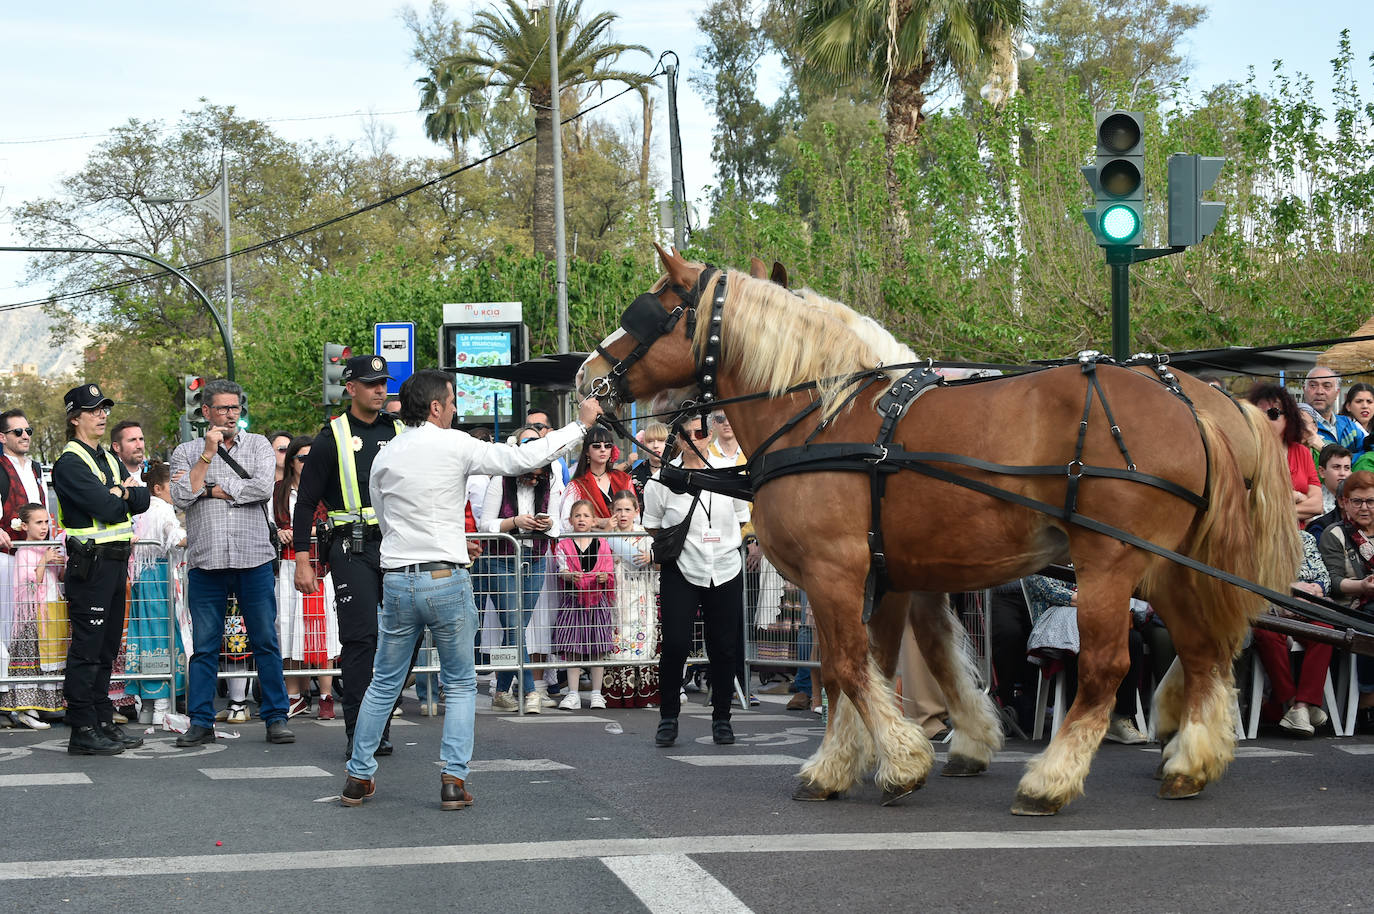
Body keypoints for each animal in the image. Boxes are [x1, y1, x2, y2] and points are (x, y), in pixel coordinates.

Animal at [577, 244, 1297, 813]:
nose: (588, 376)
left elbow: (845, 665)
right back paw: (1191, 760)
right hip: (1170, 565)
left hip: (1112, 565)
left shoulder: (834, 572)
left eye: (648, 310)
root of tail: (1192, 405)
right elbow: (896, 660)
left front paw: (897, 762)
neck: (825, 417)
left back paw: (1053, 779)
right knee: (1204, 651)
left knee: (1109, 667)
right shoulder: (893, 576)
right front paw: (858, 760)